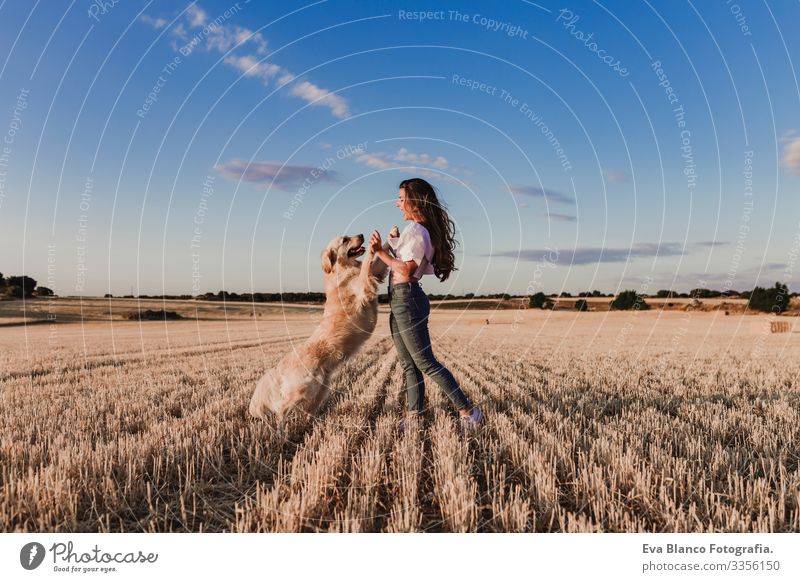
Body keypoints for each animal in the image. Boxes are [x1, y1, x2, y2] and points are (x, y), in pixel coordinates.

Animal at [247, 229, 396, 428]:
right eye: (345, 240)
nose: (362, 235)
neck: (342, 269)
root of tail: (280, 367)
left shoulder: (374, 276)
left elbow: (376, 263)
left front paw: (390, 237)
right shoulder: (363, 287)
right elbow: (366, 265)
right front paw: (374, 245)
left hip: (321, 390)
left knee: (307, 413)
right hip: (306, 387)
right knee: (281, 410)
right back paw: (280, 431)